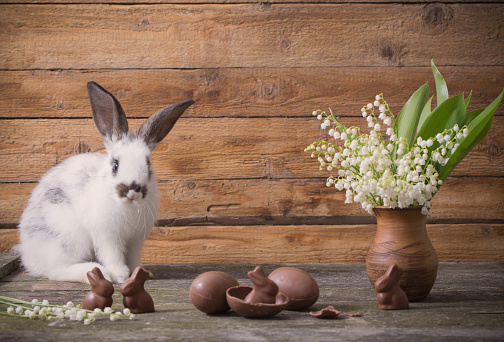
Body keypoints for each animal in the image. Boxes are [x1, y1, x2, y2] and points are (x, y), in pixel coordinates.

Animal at [16, 82, 194, 284]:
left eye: (148, 164)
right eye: (115, 164)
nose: (133, 191)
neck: (127, 207)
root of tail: (29, 257)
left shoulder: (135, 240)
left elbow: (133, 258)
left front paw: (141, 272)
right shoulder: (107, 236)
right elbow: (113, 255)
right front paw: (120, 276)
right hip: (69, 237)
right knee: (56, 271)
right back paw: (96, 272)